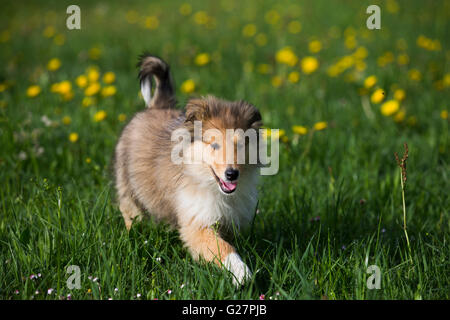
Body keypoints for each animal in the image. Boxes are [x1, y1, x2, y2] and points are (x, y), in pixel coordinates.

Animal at [114, 54, 264, 284]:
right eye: (214, 145)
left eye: (240, 145)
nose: (232, 174)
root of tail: (157, 106)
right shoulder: (197, 222)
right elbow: (222, 247)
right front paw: (242, 274)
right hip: (128, 187)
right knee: (129, 211)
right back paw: (133, 236)